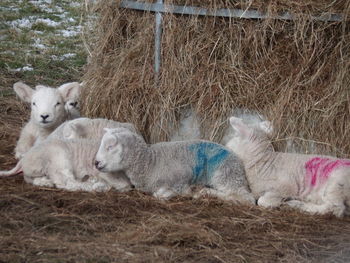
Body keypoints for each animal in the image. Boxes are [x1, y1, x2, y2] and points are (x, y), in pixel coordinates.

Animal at [94, 128, 256, 206]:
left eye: (110, 147)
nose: (95, 162)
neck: (149, 162)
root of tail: (238, 160)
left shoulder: (181, 179)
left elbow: (162, 194)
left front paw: (182, 192)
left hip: (224, 173)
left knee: (244, 197)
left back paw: (204, 193)